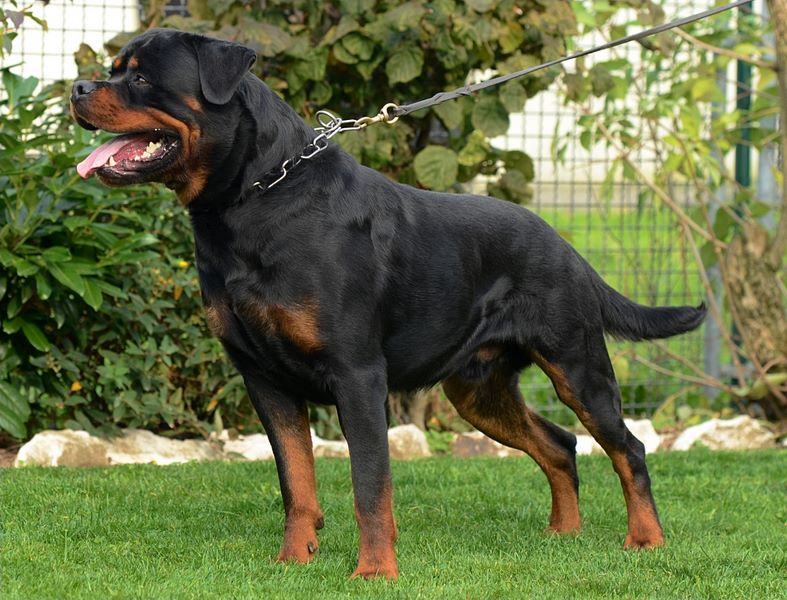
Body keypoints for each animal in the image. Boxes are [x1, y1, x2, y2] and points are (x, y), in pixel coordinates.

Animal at [70, 28, 706, 579]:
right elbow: (296, 483)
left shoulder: (357, 375)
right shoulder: (264, 379)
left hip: (577, 365)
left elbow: (370, 485)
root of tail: (569, 247)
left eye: (141, 78)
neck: (253, 200)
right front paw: (293, 561)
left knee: (627, 447)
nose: (76, 87)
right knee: (560, 444)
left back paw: (646, 540)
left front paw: (374, 571)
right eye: (112, 69)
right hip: (477, 389)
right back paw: (564, 533)